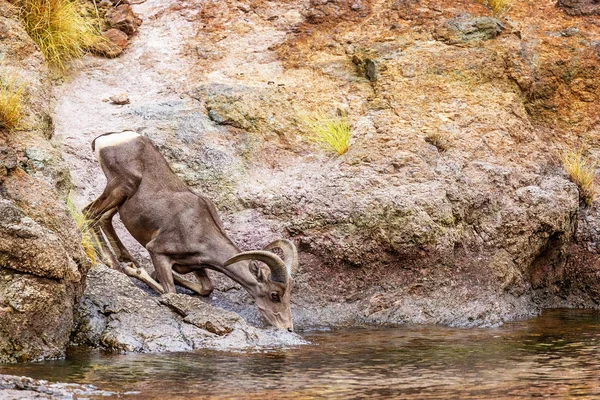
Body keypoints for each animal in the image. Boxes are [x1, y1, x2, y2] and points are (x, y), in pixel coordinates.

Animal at [84, 131, 298, 332]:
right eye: (275, 295)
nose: (288, 328)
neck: (200, 230)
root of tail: (107, 139)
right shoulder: (157, 251)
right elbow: (170, 292)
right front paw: (135, 270)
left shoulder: (196, 265)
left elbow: (206, 289)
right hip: (121, 187)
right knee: (89, 213)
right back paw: (116, 265)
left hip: (119, 200)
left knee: (103, 218)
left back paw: (126, 258)